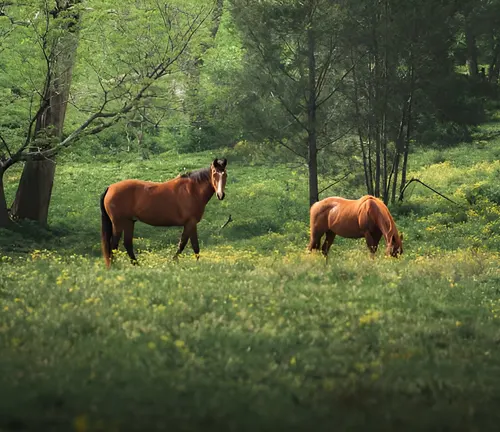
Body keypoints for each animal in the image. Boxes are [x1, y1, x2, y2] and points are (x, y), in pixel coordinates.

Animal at [100, 158, 229, 266]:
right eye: (214, 174)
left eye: (225, 174)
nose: (220, 195)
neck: (192, 190)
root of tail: (110, 188)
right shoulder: (190, 223)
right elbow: (184, 244)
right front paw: (174, 261)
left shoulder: (192, 224)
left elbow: (194, 246)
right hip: (118, 223)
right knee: (114, 244)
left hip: (129, 222)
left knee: (127, 244)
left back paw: (136, 265)